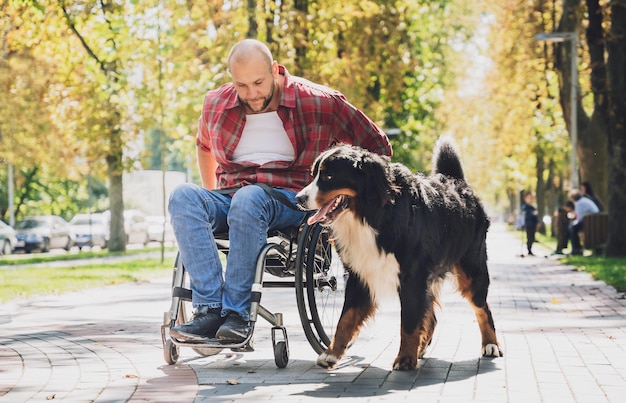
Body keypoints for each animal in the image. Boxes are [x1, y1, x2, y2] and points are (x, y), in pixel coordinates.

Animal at [294, 137, 502, 370]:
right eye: (314, 174)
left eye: (328, 176)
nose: (299, 198)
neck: (371, 214)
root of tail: (455, 180)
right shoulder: (361, 274)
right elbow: (345, 319)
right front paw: (331, 354)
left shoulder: (412, 277)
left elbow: (409, 322)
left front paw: (405, 358)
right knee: (431, 315)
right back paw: (422, 348)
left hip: (471, 269)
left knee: (482, 307)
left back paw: (490, 345)